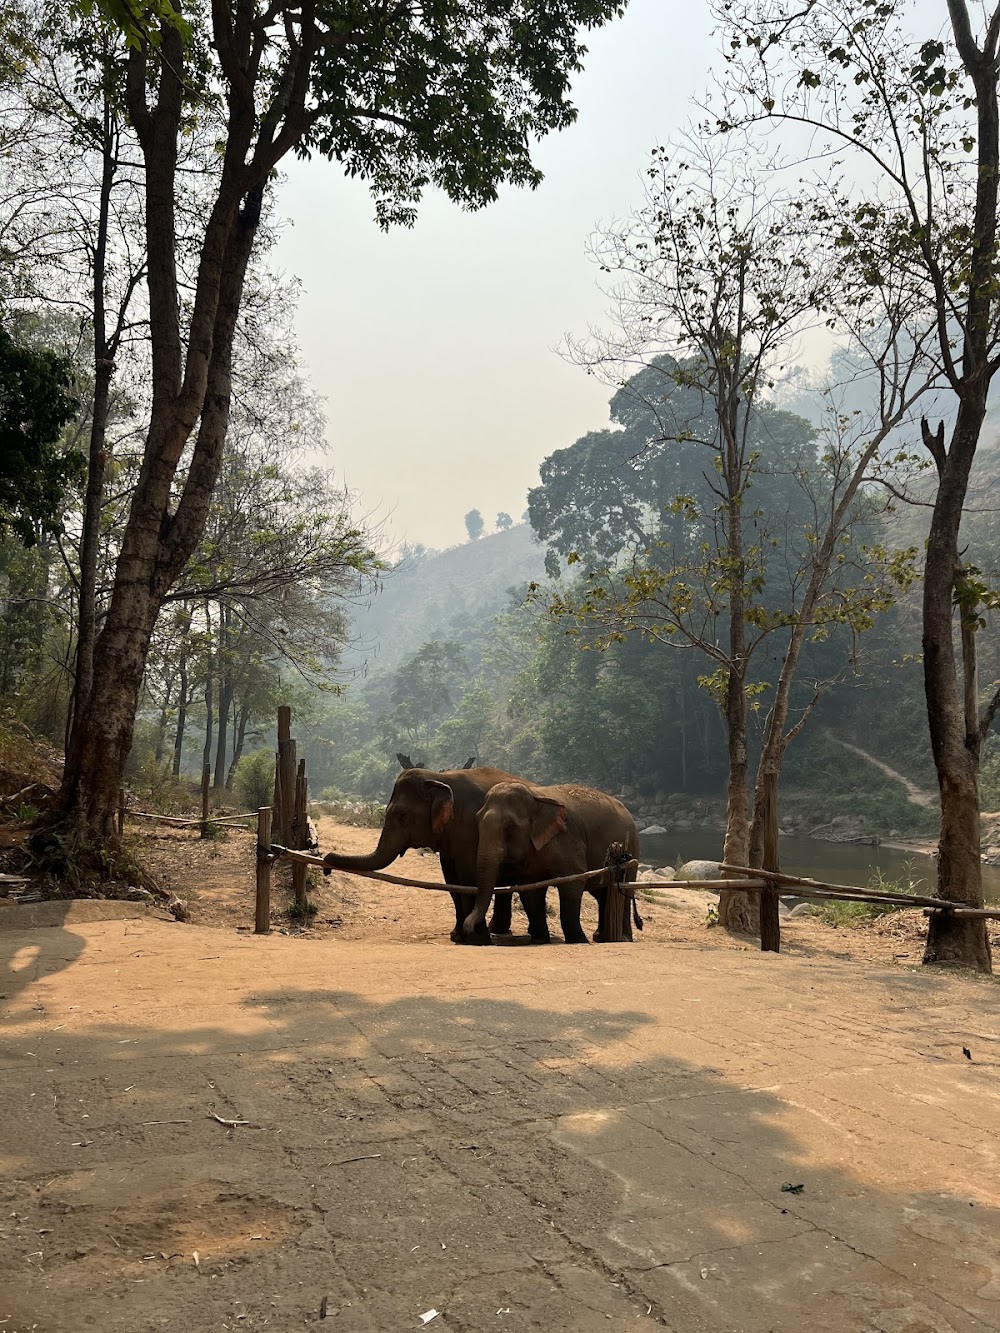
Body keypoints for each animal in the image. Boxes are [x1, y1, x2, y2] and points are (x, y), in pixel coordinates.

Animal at [322, 767, 549, 943]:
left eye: (402, 816)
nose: (325, 867)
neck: (440, 777)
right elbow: (451, 880)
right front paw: (457, 936)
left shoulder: (470, 828)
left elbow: (468, 876)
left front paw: (475, 939)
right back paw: (497, 930)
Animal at [464, 778, 642, 949]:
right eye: (477, 822)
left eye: (509, 826)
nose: (469, 928)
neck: (535, 797)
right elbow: (530, 890)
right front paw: (540, 939)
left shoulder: (566, 838)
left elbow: (573, 880)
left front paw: (579, 940)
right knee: (600, 892)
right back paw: (601, 937)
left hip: (631, 849)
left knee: (624, 889)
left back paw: (622, 938)